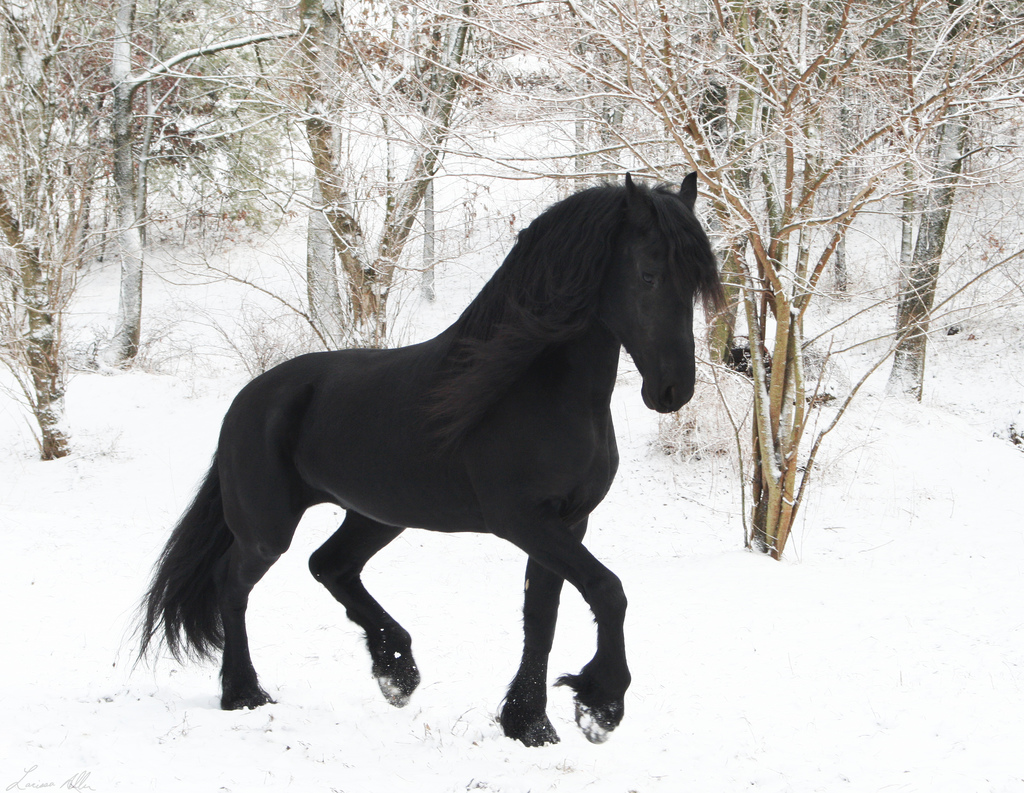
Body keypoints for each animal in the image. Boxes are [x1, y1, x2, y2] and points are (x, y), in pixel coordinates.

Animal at [140, 172, 724, 745]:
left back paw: (396, 670)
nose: (673, 390)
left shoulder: (568, 523)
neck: (530, 389)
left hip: (377, 514)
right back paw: (244, 693)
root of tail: (249, 399)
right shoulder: (523, 521)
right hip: (267, 530)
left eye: (696, 284)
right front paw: (600, 705)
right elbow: (608, 591)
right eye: (649, 275)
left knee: (329, 565)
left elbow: (543, 616)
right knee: (232, 584)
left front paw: (530, 723)